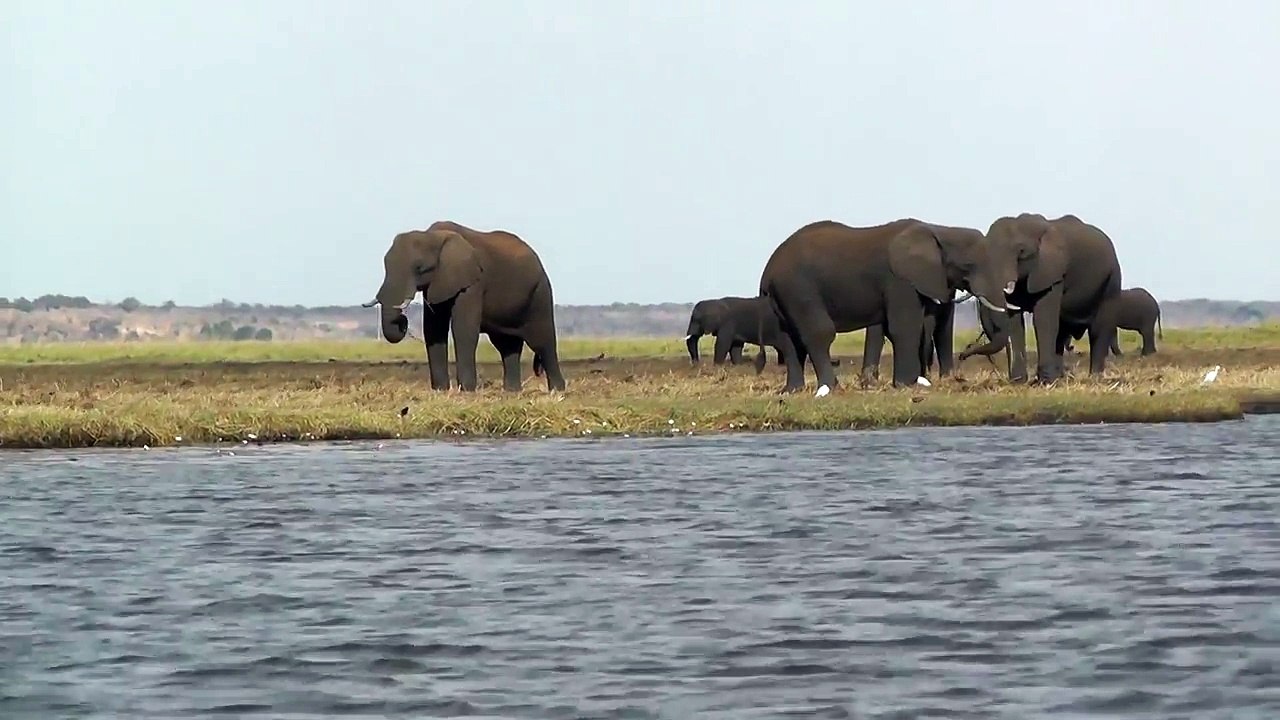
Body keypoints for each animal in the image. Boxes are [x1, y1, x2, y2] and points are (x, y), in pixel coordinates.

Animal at [362, 220, 567, 392]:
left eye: (420, 268)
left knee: (543, 341)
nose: (403, 320)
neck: (433, 236)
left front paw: (466, 390)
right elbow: (434, 329)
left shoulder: (473, 283)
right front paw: (441, 391)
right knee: (507, 345)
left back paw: (557, 391)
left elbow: (464, 329)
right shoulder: (438, 283)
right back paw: (512, 392)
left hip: (540, 292)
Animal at [758, 218, 1013, 394]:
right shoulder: (900, 280)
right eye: (968, 265)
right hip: (798, 288)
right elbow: (904, 327)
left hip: (783, 295)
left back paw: (793, 390)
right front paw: (907, 385)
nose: (964, 354)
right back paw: (831, 387)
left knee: (789, 338)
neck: (939, 229)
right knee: (819, 333)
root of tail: (768, 269)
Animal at [985, 213, 1123, 383]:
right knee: (1062, 330)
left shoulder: (1052, 273)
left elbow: (1043, 320)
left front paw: (1044, 383)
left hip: (1112, 278)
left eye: (1021, 252)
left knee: (1099, 327)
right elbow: (1015, 321)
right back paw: (1060, 378)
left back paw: (1094, 378)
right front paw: (1018, 382)